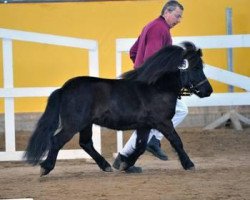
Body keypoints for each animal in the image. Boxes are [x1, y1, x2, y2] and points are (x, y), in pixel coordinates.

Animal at [24, 41, 213, 176]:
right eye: (197, 67)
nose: (208, 91)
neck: (158, 88)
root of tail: (64, 89)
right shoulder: (163, 122)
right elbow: (176, 141)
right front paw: (189, 164)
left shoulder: (145, 125)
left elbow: (140, 146)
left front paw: (125, 164)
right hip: (74, 124)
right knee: (56, 141)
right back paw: (46, 167)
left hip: (86, 124)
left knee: (86, 143)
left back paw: (106, 166)